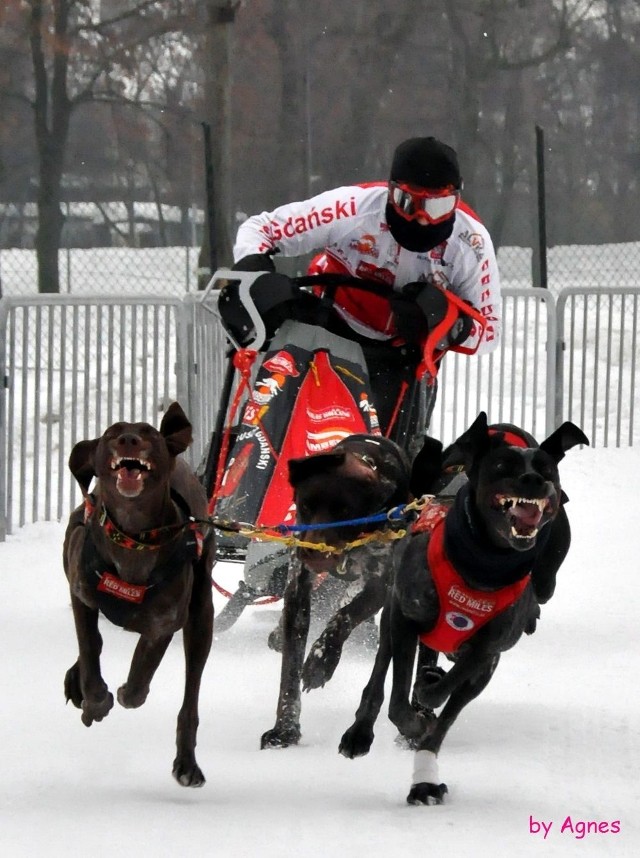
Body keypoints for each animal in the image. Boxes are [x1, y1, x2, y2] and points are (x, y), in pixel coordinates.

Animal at [63, 402, 216, 784]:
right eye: (111, 432)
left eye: (148, 432)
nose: (129, 439)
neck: (132, 538)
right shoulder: (81, 593)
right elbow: (89, 648)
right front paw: (95, 699)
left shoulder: (164, 623)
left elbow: (141, 672)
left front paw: (124, 693)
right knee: (92, 645)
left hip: (201, 620)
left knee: (190, 698)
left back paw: (187, 763)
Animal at [260, 432, 410, 744]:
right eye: (305, 506)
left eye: (345, 511)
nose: (313, 552)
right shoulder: (298, 587)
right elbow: (289, 668)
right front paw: (285, 729)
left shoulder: (380, 584)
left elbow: (344, 616)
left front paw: (322, 658)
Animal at [340, 412, 592, 804]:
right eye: (501, 466)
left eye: (548, 469)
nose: (534, 480)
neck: (481, 567)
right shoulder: (405, 618)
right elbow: (397, 700)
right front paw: (413, 714)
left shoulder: (489, 651)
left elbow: (447, 699)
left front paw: (429, 701)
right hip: (393, 618)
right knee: (380, 676)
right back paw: (361, 732)